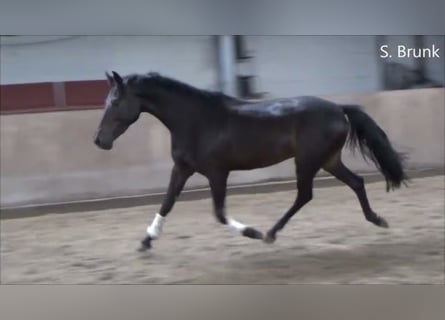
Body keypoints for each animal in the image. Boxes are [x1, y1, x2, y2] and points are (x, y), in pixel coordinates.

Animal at [95, 71, 408, 251]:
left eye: (115, 102)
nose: (99, 141)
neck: (195, 120)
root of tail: (338, 108)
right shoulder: (182, 168)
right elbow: (167, 203)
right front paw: (146, 241)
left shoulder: (216, 172)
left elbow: (219, 213)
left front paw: (253, 232)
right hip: (328, 160)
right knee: (356, 182)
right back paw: (377, 219)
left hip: (308, 161)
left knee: (305, 194)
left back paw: (269, 233)